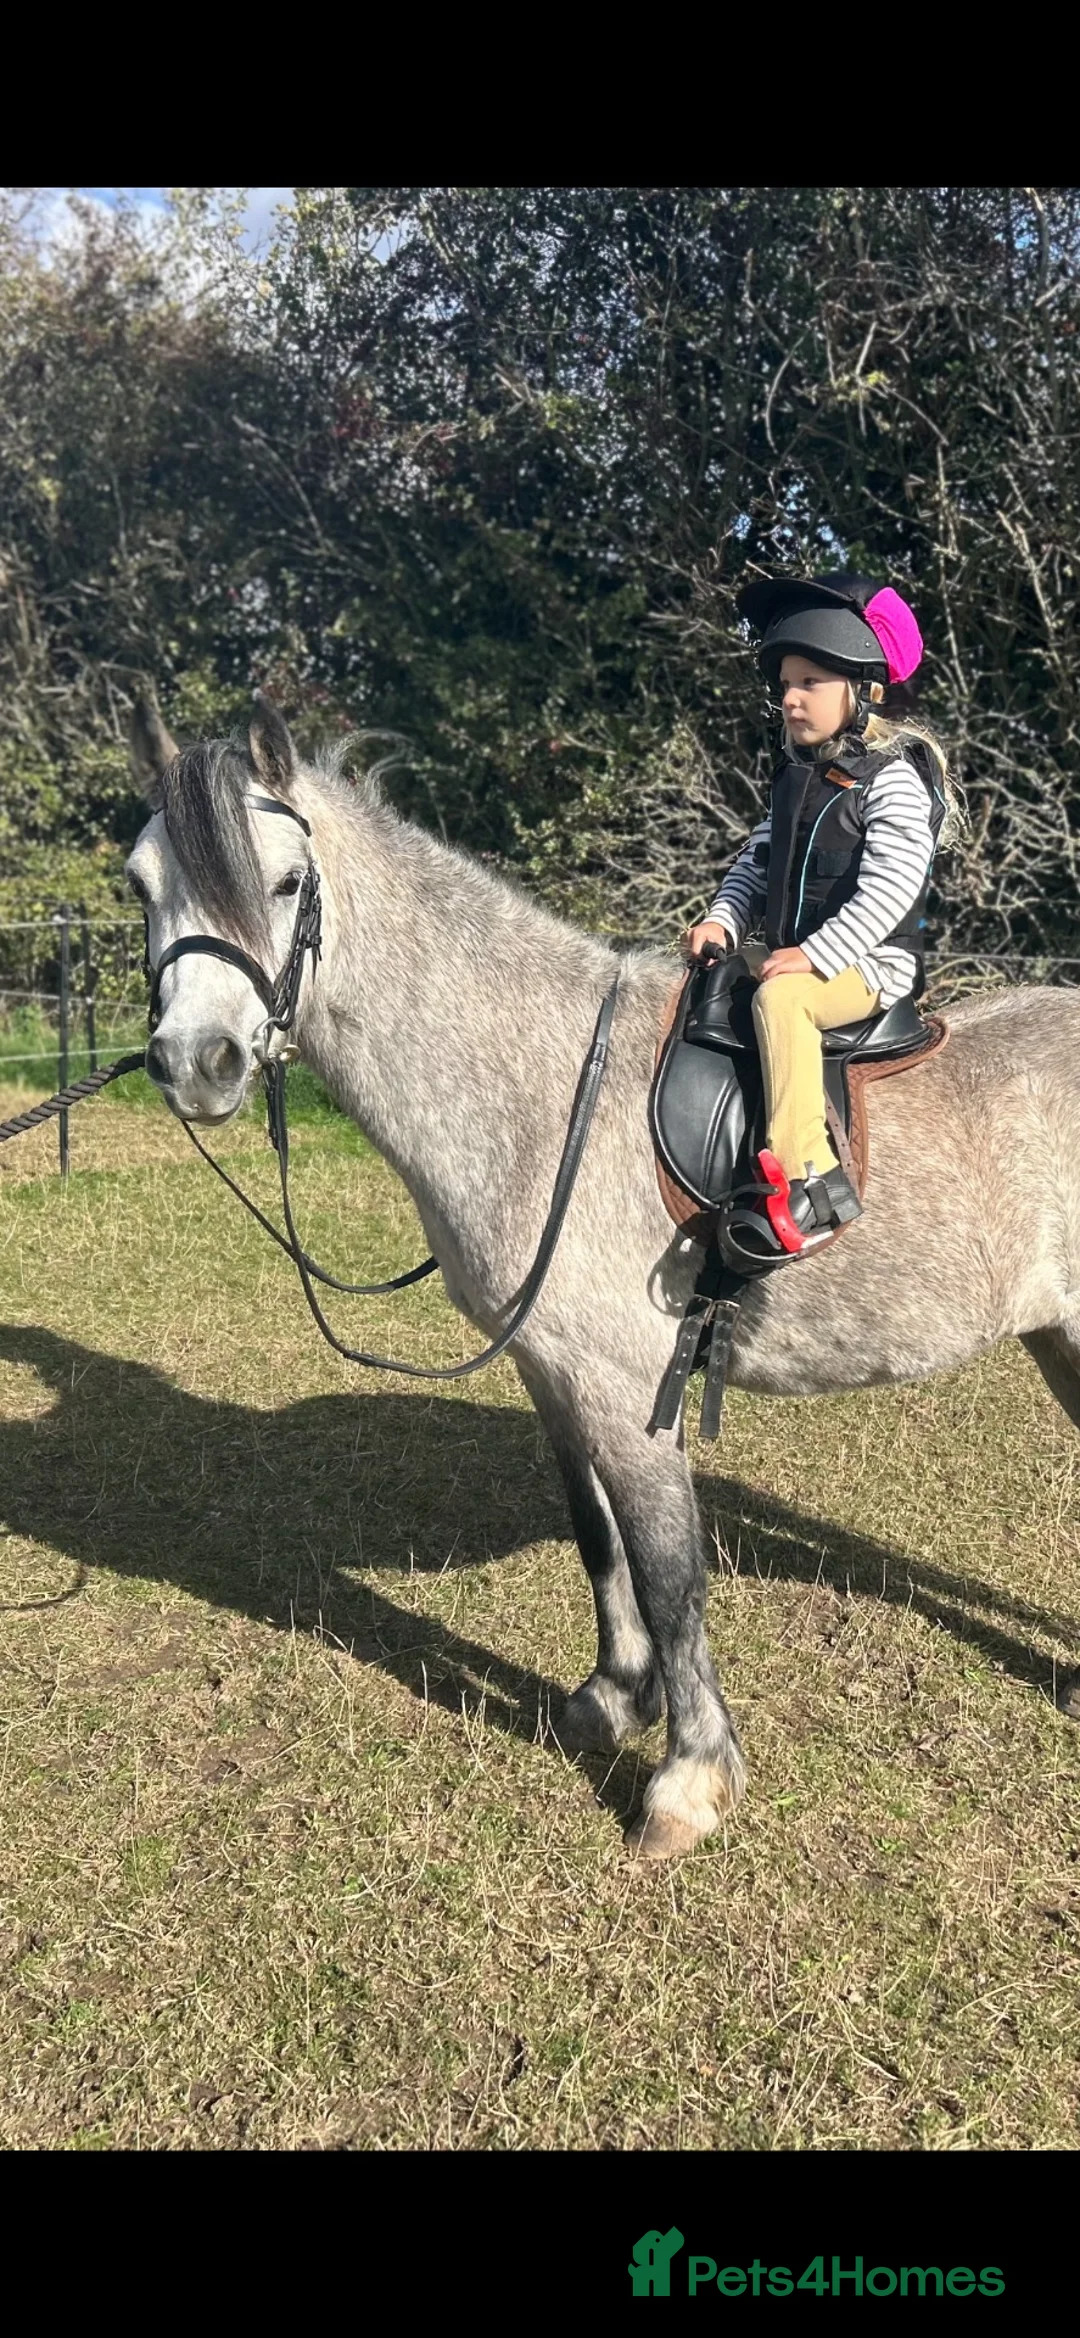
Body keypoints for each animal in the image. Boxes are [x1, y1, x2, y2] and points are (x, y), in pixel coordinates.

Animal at [127, 693, 1080, 1861]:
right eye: (140, 882)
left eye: (288, 882)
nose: (196, 1063)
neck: (542, 1096)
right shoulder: (552, 1371)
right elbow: (597, 1539)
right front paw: (612, 1698)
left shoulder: (633, 1392)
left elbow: (672, 1576)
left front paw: (687, 1783)